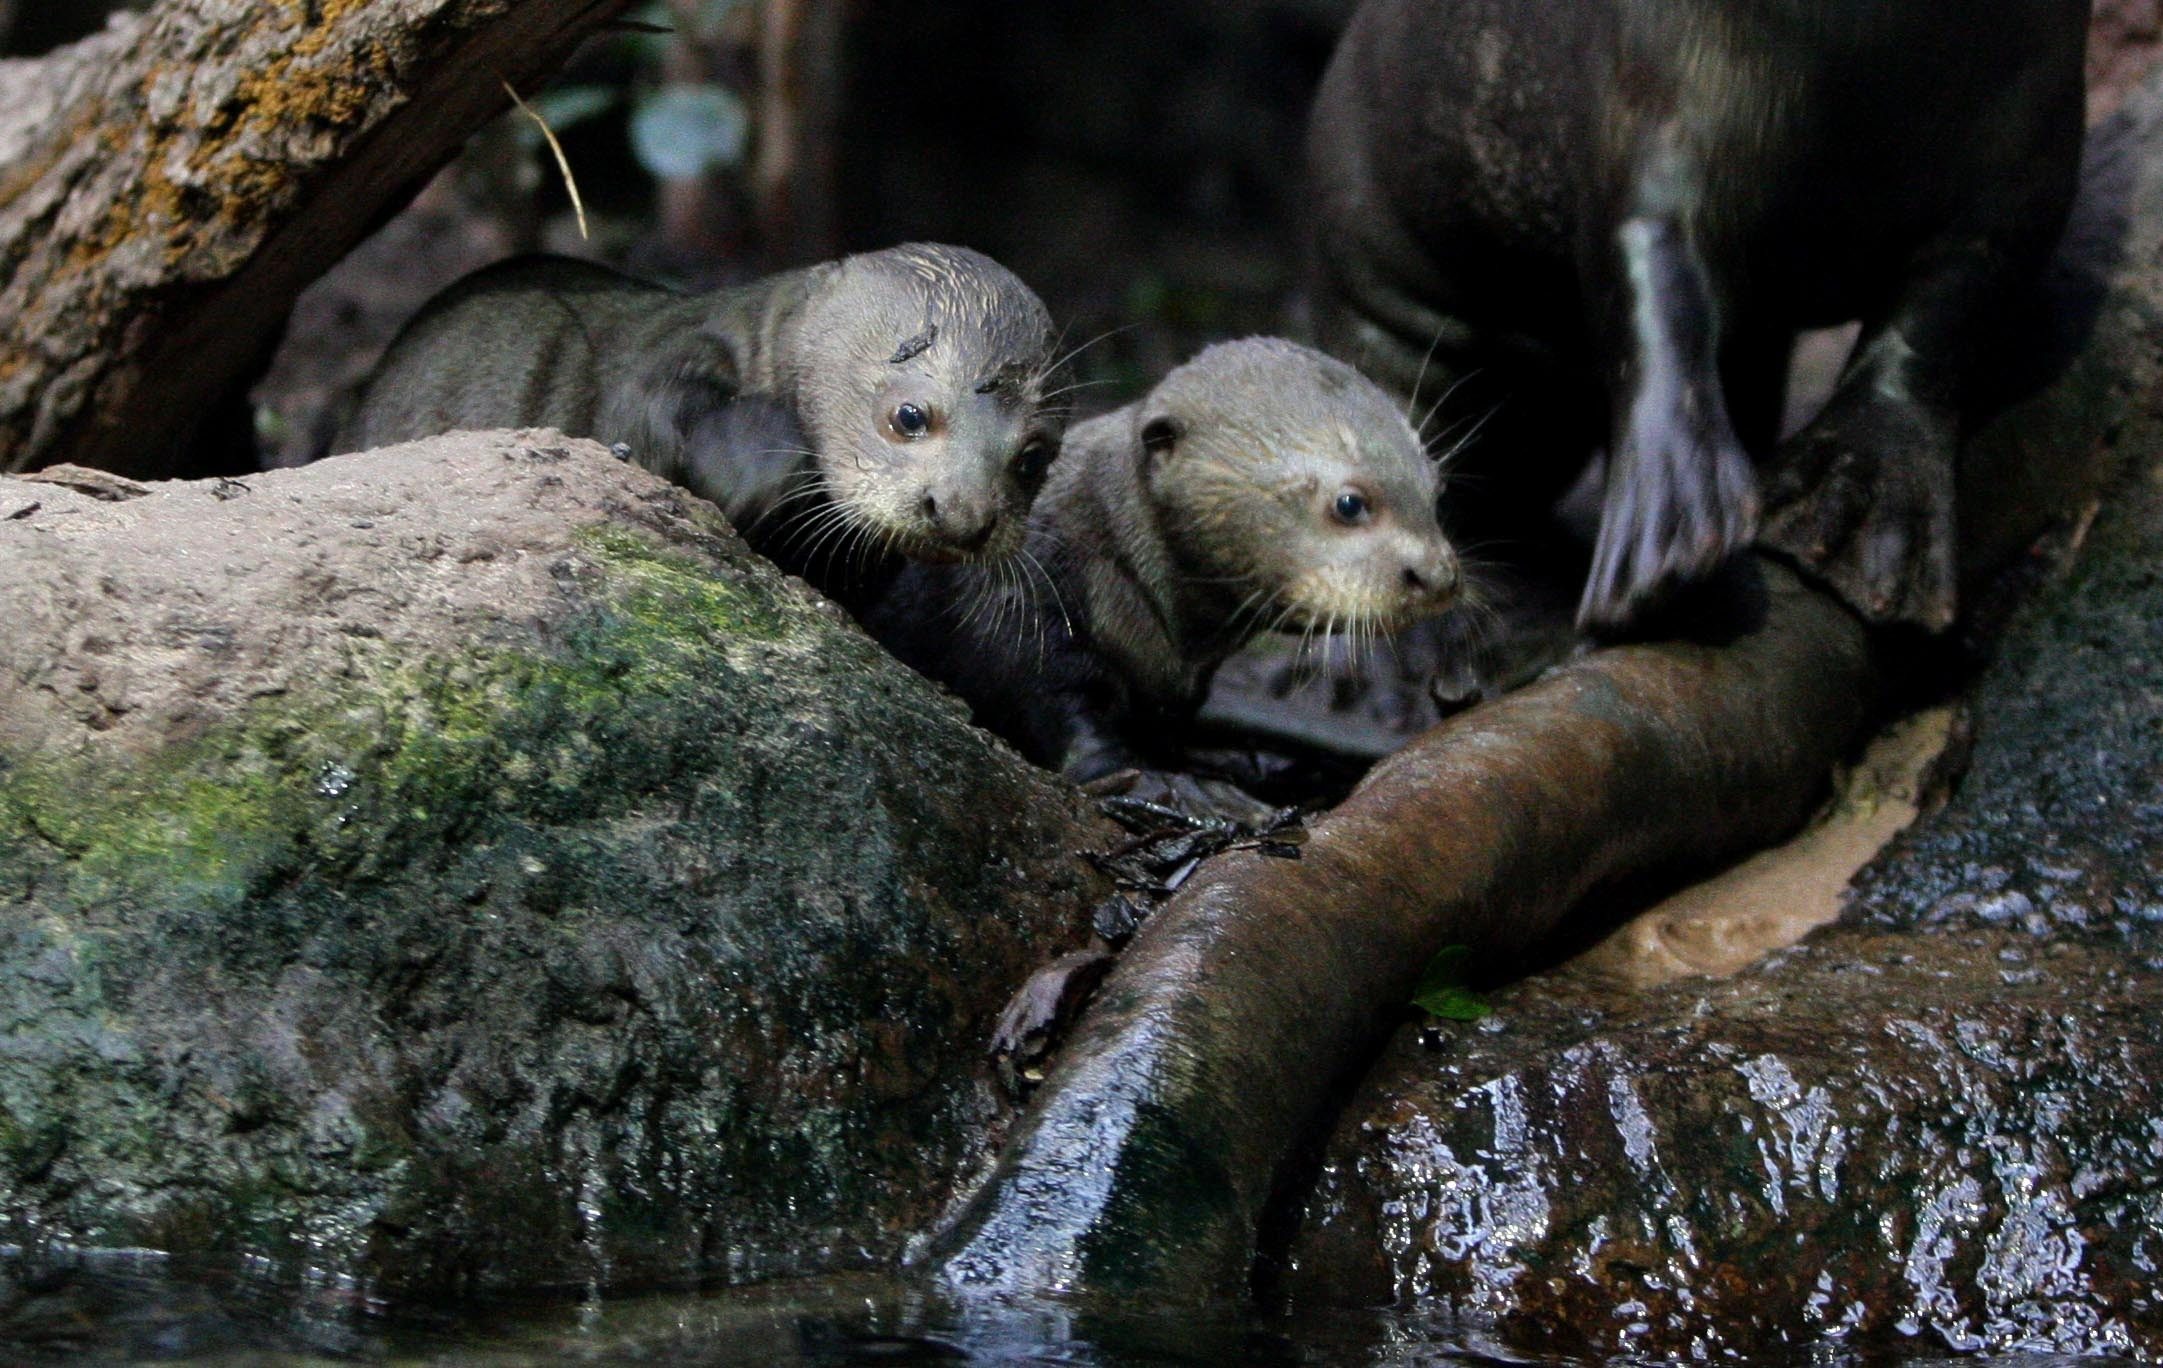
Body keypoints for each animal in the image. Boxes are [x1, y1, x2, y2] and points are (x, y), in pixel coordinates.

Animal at [1306, 0, 2085, 632]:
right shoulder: (1661, 89)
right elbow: (1649, 265)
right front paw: (1667, 529)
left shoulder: (2027, 161)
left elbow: (1948, 311)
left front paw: (1859, 502)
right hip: (1372, 287)